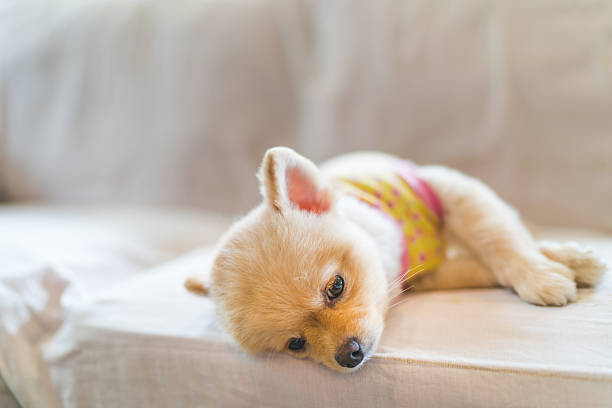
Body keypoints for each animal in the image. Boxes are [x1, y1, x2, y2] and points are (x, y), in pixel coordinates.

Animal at [186, 147, 608, 372]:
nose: (349, 355)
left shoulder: (447, 189)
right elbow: (481, 264)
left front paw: (545, 270)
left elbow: (497, 236)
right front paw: (557, 267)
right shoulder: (426, 275)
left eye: (335, 287)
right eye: (296, 344)